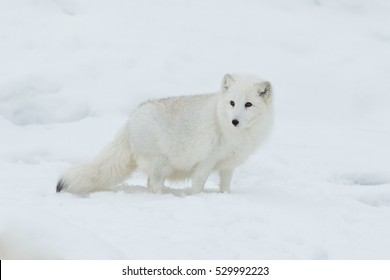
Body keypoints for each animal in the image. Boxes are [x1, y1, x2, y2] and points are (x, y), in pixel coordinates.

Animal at [56, 74, 272, 195]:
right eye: (232, 103)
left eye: (248, 104)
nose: (234, 121)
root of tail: (130, 120)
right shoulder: (206, 162)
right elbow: (198, 185)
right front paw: (197, 198)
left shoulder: (228, 165)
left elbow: (225, 185)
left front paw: (225, 196)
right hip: (161, 164)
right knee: (153, 184)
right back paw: (163, 197)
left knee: (149, 183)